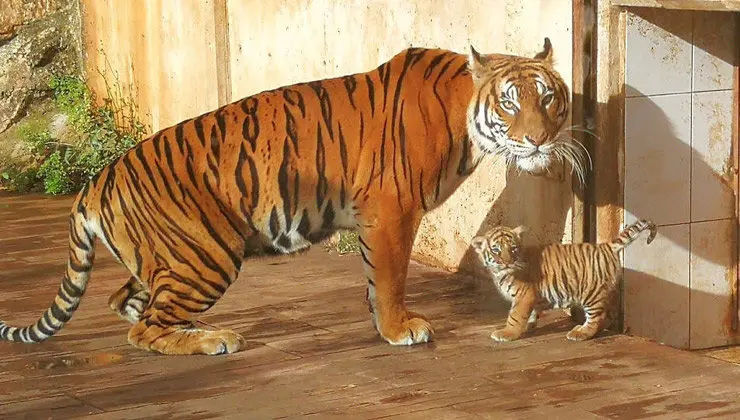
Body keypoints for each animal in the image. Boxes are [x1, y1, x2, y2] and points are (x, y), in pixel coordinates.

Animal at [0, 38, 584, 355]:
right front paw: (399, 329)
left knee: (127, 302)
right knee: (144, 328)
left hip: (168, 258)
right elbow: (390, 278)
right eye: (510, 103)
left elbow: (376, 280)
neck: (466, 117)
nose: (539, 140)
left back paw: (197, 328)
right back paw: (213, 339)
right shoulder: (392, 210)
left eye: (548, 98)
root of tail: (95, 182)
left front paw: (383, 323)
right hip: (206, 255)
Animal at [471, 219, 657, 342]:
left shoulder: (524, 295)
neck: (500, 272)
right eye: (496, 250)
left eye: (513, 248)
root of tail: (605, 246)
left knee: (597, 318)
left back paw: (580, 333)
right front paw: (529, 326)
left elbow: (515, 316)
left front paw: (507, 333)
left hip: (591, 293)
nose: (507, 262)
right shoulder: (531, 297)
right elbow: (531, 313)